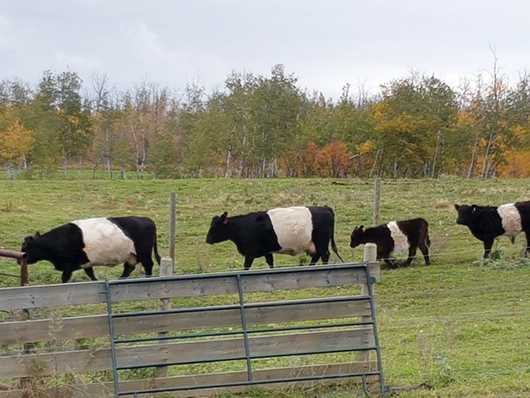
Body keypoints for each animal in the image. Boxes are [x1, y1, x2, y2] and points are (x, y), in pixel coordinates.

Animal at [19, 218, 161, 282]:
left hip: (143, 252)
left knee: (148, 265)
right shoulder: (86, 262)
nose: (19, 260)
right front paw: (96, 281)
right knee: (128, 268)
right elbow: (90, 274)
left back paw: (148, 277)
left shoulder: (69, 265)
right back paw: (120, 279)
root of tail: (147, 219)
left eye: (25, 247)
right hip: (131, 255)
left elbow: (64, 277)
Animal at [202, 205, 342, 270]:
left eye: (215, 226)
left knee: (324, 255)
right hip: (314, 244)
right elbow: (270, 263)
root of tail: (325, 208)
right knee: (317, 256)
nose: (207, 240)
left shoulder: (250, 253)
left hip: (321, 241)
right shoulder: (266, 251)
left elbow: (246, 266)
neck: (242, 227)